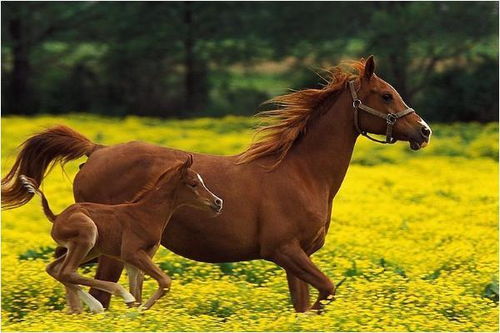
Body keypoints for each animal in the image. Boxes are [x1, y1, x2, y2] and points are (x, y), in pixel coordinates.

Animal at [20, 154, 223, 312]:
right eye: (193, 184)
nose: (218, 202)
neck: (146, 214)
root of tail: (56, 217)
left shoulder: (135, 260)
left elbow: (139, 291)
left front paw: (134, 314)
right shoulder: (131, 253)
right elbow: (164, 282)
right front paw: (135, 311)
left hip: (91, 249)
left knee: (55, 269)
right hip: (88, 235)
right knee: (67, 271)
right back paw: (109, 300)